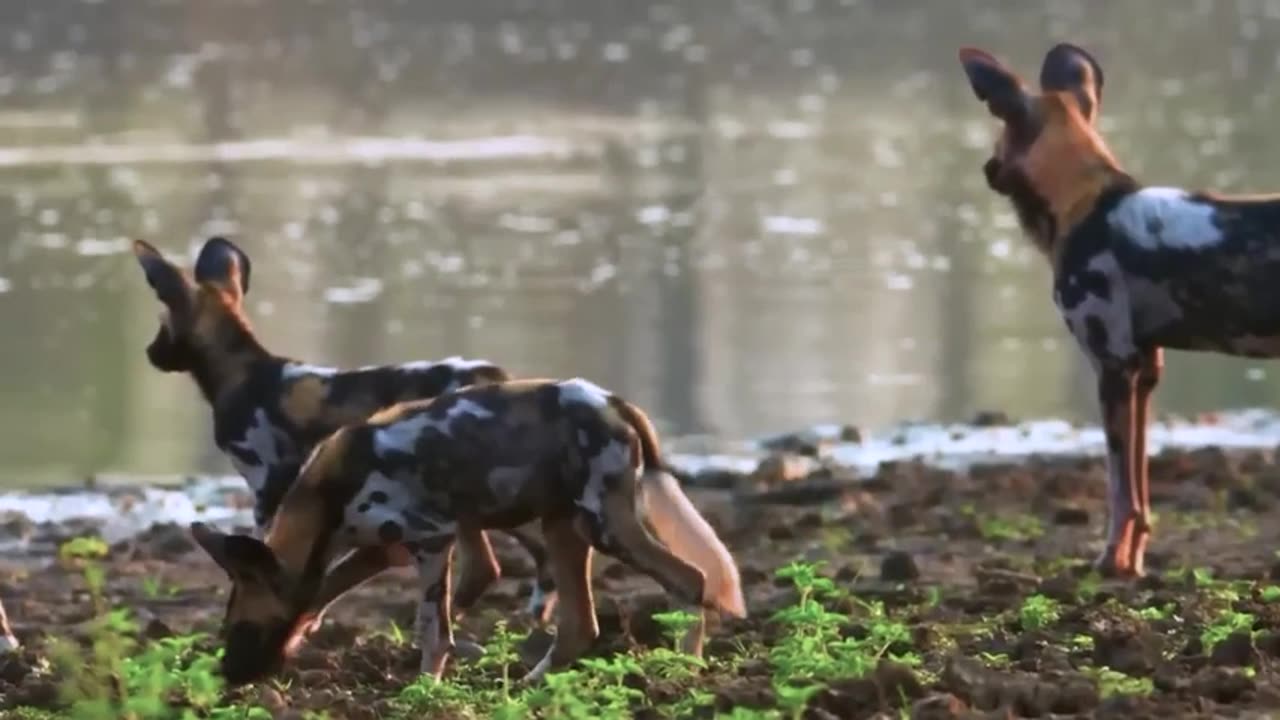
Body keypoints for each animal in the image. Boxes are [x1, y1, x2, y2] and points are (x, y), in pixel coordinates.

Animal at [129, 237, 560, 622]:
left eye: (160, 326)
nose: (149, 353)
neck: (241, 371)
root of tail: (495, 376)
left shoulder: (268, 487)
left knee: (490, 565)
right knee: (516, 558)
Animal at [185, 376, 747, 681]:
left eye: (245, 628)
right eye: (226, 629)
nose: (229, 676)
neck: (328, 497)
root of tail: (613, 401)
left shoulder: (431, 541)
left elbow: (432, 630)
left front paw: (425, 692)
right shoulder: (381, 551)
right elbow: (321, 592)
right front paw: (304, 633)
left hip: (604, 525)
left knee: (690, 580)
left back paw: (683, 672)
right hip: (564, 527)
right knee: (579, 626)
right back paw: (533, 684)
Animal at [962, 41, 1280, 573]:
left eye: (998, 128)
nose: (988, 169)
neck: (1086, 201)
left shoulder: (1112, 366)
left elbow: (1119, 491)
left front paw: (1110, 562)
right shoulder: (1145, 370)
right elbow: (1142, 491)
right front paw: (1134, 565)